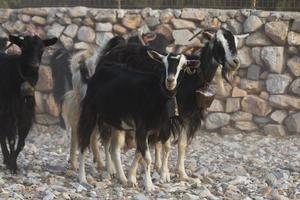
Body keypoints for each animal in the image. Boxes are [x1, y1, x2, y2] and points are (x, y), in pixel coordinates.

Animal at [0, 34, 57, 172]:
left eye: (42, 48)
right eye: (23, 46)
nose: (34, 65)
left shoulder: (27, 115)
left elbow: (21, 143)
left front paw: (12, 162)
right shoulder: (9, 113)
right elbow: (11, 139)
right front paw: (13, 166)